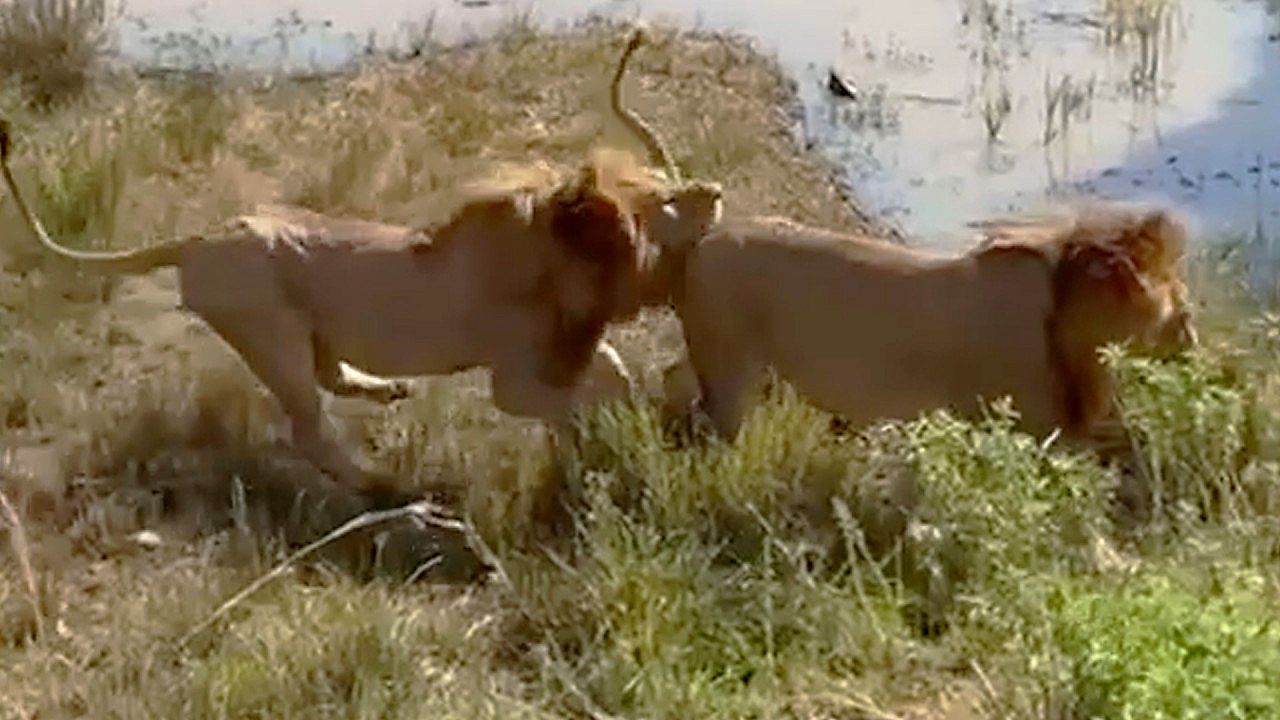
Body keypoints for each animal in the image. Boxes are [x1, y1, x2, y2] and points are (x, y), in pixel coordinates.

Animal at [0, 121, 663, 491]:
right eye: (644, 214)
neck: (547, 256)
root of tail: (198, 239)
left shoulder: (564, 345)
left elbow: (612, 372)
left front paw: (624, 428)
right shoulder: (514, 380)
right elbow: (576, 396)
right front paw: (615, 434)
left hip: (305, 334)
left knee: (332, 379)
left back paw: (388, 392)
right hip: (272, 335)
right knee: (310, 431)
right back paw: (388, 489)